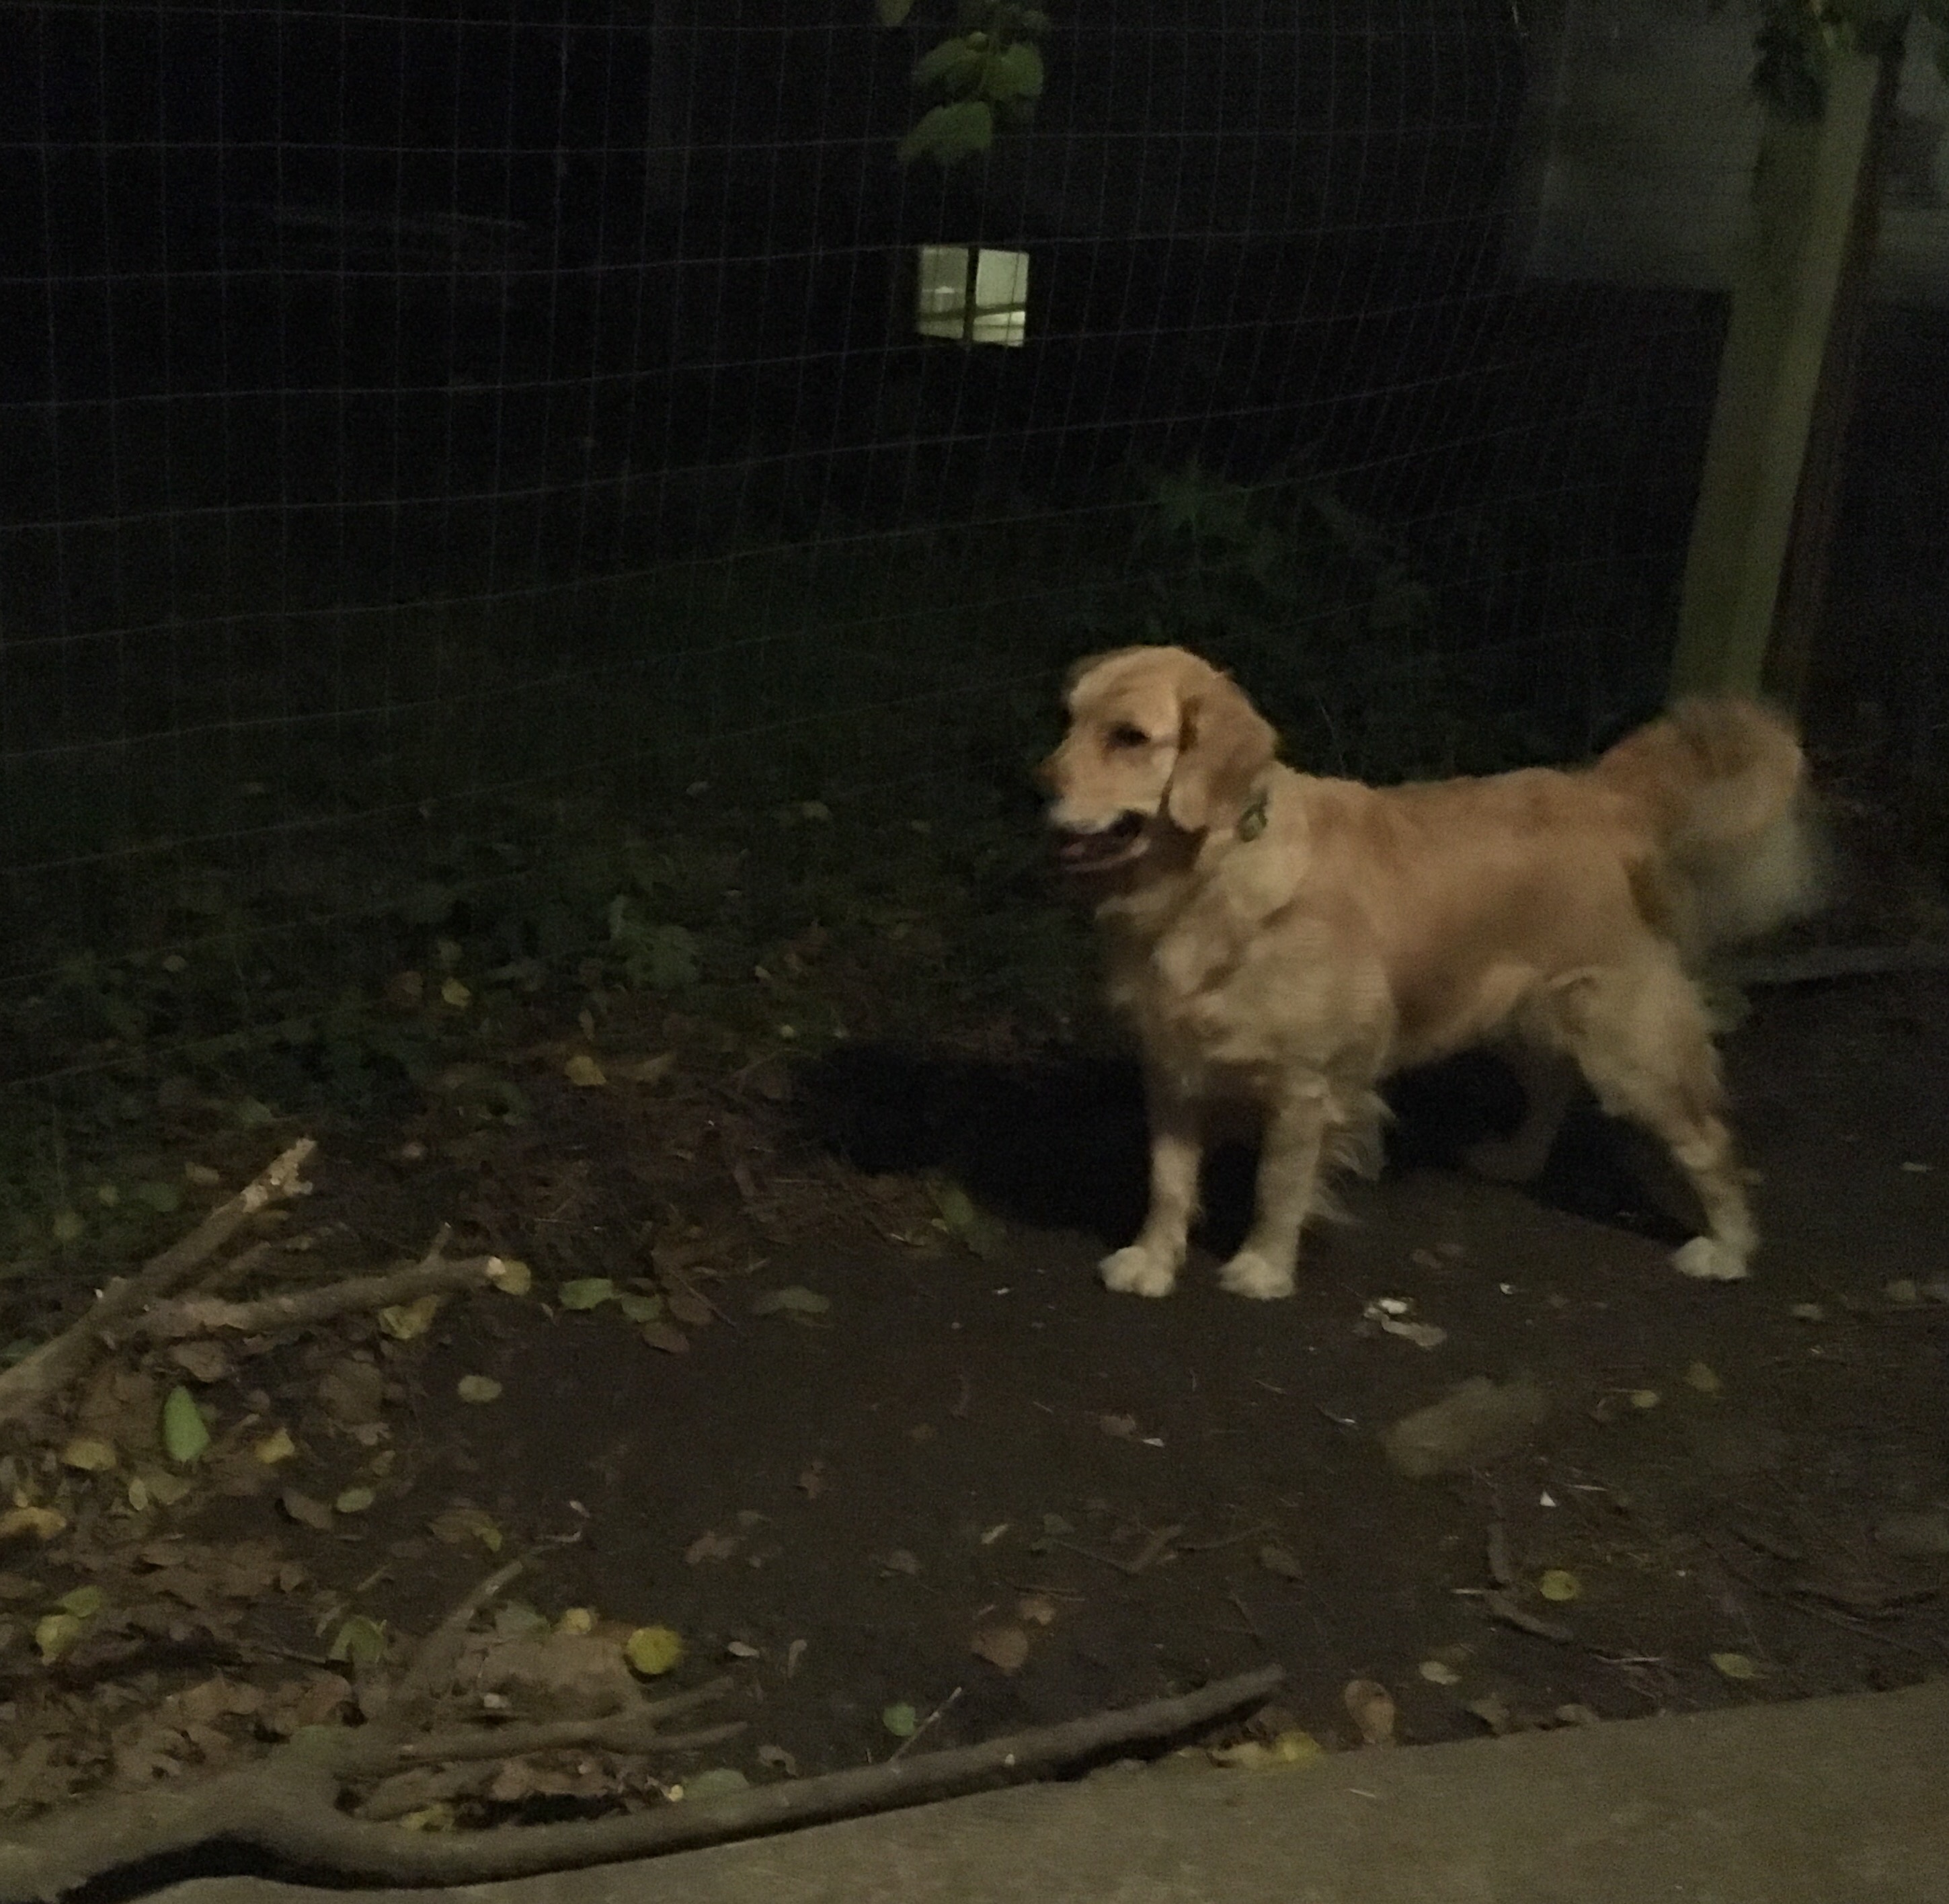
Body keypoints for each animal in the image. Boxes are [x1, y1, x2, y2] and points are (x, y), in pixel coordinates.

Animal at [1040, 645, 1825, 1298]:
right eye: (1068, 721)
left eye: (1129, 737)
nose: (1037, 791)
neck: (1211, 872)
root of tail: (1594, 793)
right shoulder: (1172, 1065)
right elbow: (1168, 1180)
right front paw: (1153, 1259)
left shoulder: (1305, 1083)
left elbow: (1277, 1185)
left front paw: (1262, 1267)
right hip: (1514, 1012)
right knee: (1554, 1084)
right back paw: (1517, 1160)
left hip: (1627, 1045)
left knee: (1708, 1140)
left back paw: (1727, 1247)